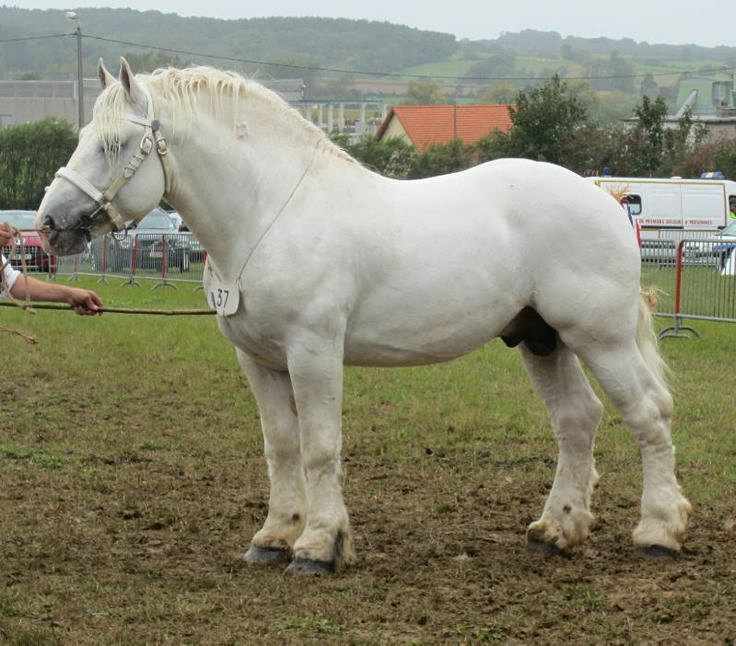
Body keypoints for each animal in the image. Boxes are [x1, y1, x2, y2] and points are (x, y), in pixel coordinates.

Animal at [36, 59, 688, 576]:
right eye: (84, 135)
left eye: (114, 145)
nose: (49, 223)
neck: (268, 211)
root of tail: (603, 200)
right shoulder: (259, 360)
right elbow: (281, 446)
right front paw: (274, 537)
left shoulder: (314, 352)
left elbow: (320, 447)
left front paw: (318, 547)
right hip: (541, 339)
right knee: (578, 420)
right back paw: (556, 531)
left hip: (599, 338)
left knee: (649, 416)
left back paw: (659, 531)